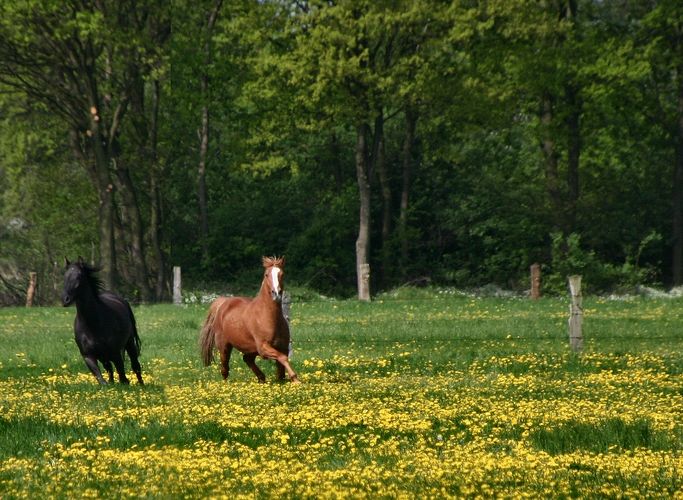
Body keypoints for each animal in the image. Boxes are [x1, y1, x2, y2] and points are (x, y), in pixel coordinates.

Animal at [198, 256, 300, 384]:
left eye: (282, 274)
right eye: (266, 274)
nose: (276, 294)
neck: (269, 317)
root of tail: (223, 302)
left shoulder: (283, 347)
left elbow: (281, 367)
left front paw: (285, 380)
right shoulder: (263, 347)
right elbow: (282, 358)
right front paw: (296, 379)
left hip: (250, 348)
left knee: (247, 359)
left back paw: (261, 378)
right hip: (224, 346)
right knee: (225, 369)